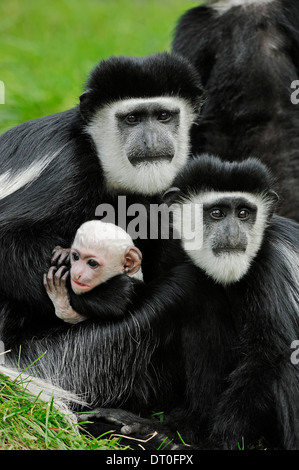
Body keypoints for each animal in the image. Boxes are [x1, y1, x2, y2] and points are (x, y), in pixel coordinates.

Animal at [0, 53, 204, 348]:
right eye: (132, 118)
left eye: (163, 116)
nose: (151, 140)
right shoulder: (68, 169)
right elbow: (8, 238)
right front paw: (107, 295)